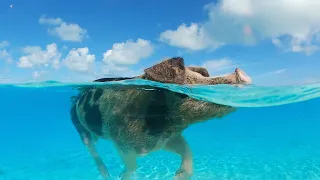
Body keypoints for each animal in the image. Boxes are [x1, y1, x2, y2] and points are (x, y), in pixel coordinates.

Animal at [70, 57, 252, 179]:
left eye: (203, 77)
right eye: (182, 92)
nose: (240, 72)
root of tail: (76, 97)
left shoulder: (165, 140)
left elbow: (187, 150)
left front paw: (177, 177)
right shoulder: (121, 141)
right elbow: (132, 165)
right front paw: (122, 176)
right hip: (76, 121)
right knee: (90, 147)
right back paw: (105, 174)